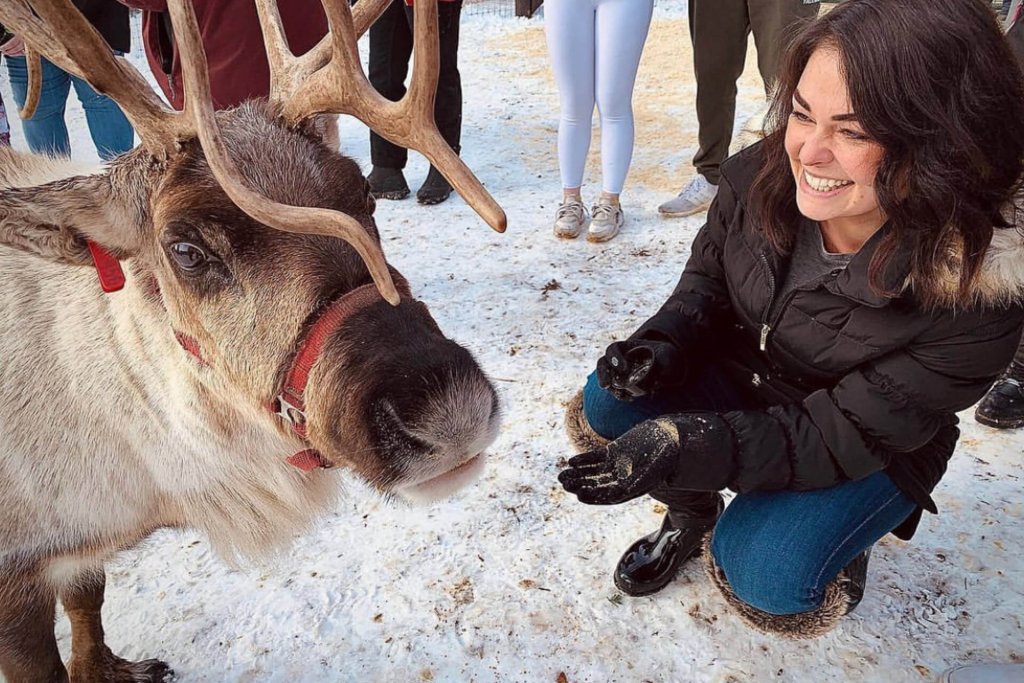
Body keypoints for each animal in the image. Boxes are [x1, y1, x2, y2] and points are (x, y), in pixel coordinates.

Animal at [0, 0, 507, 680]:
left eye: (364, 192)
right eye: (185, 249)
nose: (449, 409)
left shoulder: (73, 553)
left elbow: (89, 599)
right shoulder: (18, 576)